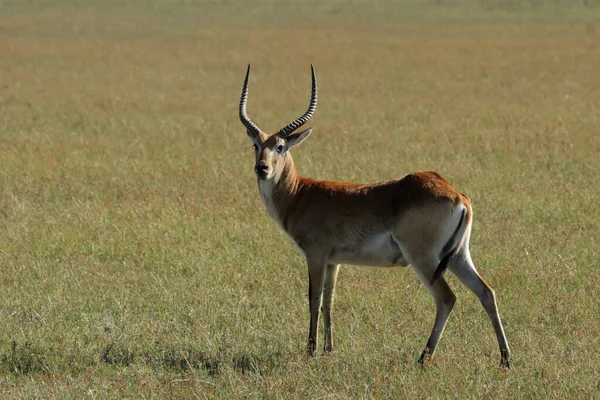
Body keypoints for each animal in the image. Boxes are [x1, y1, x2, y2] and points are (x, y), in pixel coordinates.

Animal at [239, 65, 510, 368]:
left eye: (281, 146)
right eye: (256, 145)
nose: (262, 168)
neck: (301, 193)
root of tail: (457, 193)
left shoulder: (315, 256)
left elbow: (314, 298)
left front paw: (310, 350)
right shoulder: (334, 261)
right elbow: (330, 300)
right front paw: (329, 349)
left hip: (425, 259)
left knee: (447, 298)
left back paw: (423, 357)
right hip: (458, 256)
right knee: (486, 292)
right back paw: (505, 359)